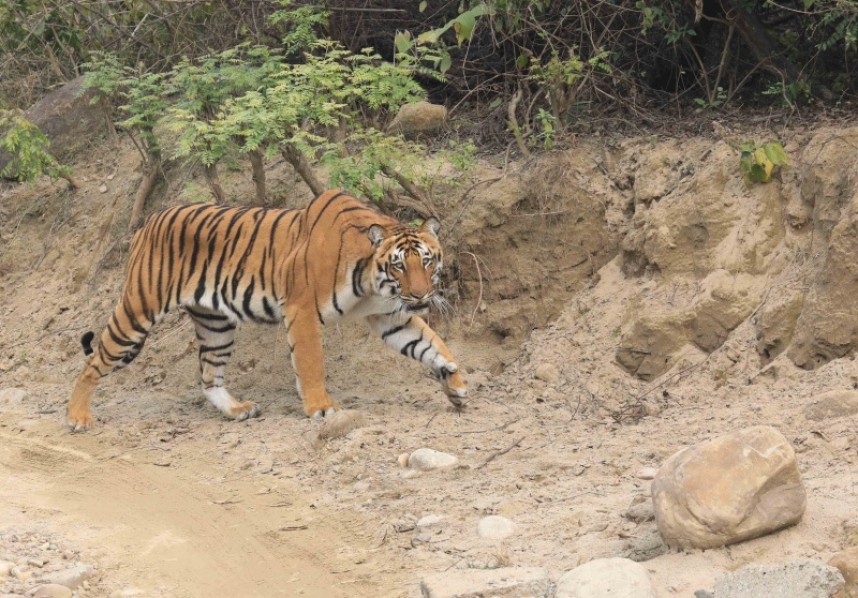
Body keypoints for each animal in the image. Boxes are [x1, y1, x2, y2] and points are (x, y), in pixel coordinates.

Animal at [66, 190, 468, 431]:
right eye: (399, 265)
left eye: (427, 261)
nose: (420, 294)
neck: (373, 281)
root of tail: (147, 222)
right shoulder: (302, 309)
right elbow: (311, 363)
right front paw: (322, 408)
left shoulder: (389, 315)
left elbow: (431, 344)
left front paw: (455, 383)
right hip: (138, 310)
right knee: (93, 363)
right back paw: (78, 417)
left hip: (216, 323)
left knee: (209, 376)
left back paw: (236, 410)